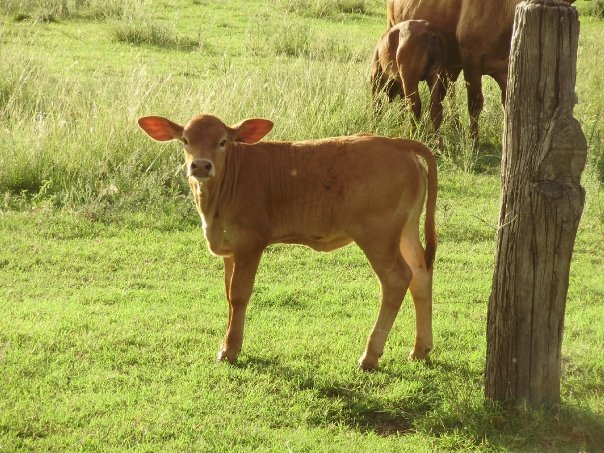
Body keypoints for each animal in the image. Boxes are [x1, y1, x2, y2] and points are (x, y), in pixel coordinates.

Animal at [139, 113, 436, 370]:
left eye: (223, 141)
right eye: (185, 140)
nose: (200, 165)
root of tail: (394, 142)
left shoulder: (250, 244)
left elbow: (239, 294)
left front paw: (230, 349)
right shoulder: (229, 249)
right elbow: (227, 294)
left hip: (378, 235)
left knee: (397, 279)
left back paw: (370, 355)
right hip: (406, 231)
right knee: (420, 273)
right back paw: (420, 349)